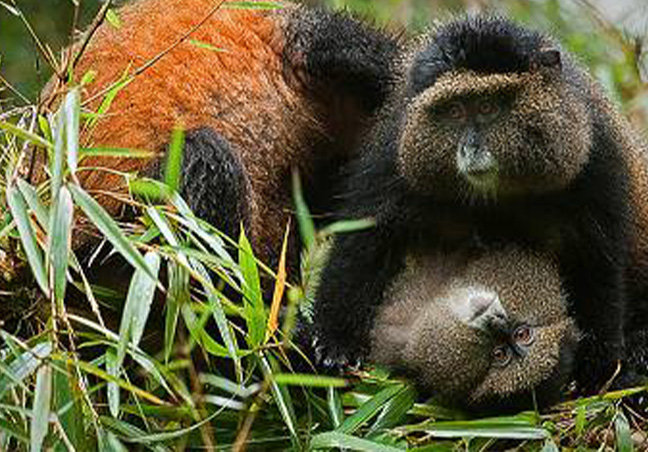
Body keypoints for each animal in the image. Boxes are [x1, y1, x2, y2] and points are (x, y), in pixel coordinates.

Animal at [310, 14, 648, 395]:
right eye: (455, 111)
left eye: (487, 107)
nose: (470, 148)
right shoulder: (394, 150)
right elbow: (365, 239)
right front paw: (334, 343)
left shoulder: (595, 157)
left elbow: (597, 262)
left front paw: (598, 369)